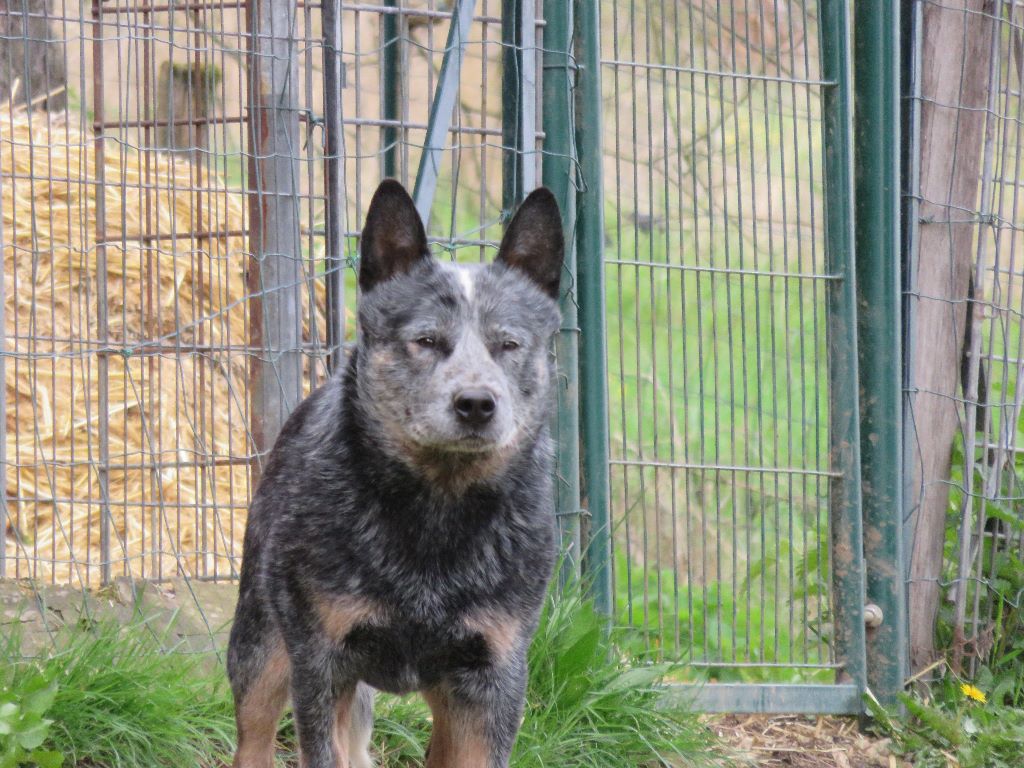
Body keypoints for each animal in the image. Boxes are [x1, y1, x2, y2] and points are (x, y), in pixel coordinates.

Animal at [228, 176, 569, 768]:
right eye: (427, 340)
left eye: (508, 344)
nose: (476, 404)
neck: (435, 515)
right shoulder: (322, 664)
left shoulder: (492, 677)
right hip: (261, 649)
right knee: (254, 735)